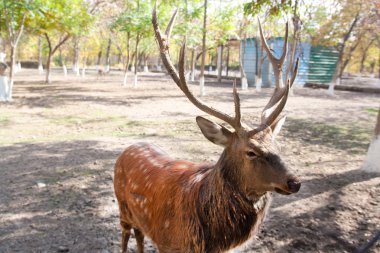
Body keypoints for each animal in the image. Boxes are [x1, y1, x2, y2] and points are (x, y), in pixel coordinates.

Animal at [113, 2, 300, 253]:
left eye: (278, 145)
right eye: (251, 152)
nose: (295, 182)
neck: (210, 241)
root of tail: (127, 149)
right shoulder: (168, 243)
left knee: (140, 234)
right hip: (122, 208)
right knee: (126, 235)